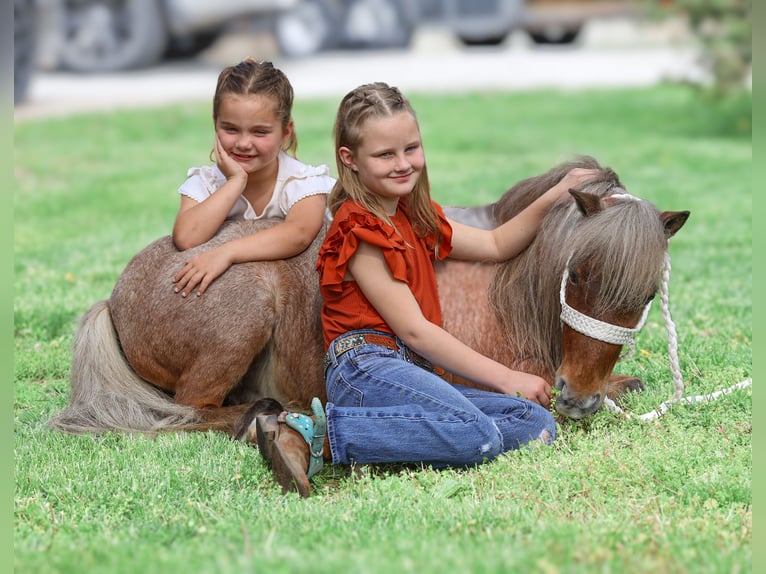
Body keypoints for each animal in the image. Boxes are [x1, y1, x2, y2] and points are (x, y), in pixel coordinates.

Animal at [48, 156, 689, 438]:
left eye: (645, 294)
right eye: (576, 275)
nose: (578, 399)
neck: (509, 290)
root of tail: (114, 302)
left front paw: (616, 384)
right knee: (190, 408)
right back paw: (264, 414)